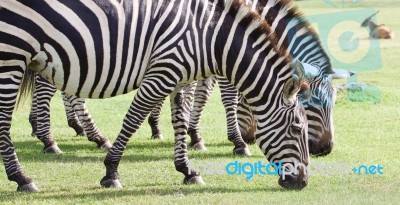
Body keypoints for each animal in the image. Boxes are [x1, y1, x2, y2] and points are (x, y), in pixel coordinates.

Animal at [0, 0, 312, 192]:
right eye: (298, 128)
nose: (303, 182)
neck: (209, 37)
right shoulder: (163, 71)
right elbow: (133, 119)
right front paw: (111, 172)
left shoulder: (178, 78)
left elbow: (180, 119)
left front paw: (187, 170)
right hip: (12, 54)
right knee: (6, 119)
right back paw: (23, 176)